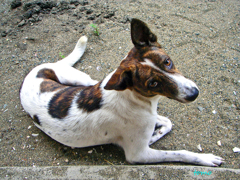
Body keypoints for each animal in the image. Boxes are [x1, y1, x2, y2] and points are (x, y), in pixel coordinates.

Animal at [19, 19, 223, 167]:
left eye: (167, 61)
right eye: (153, 83)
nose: (194, 93)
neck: (137, 98)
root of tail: (36, 71)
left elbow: (167, 122)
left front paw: (156, 133)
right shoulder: (138, 155)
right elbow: (180, 153)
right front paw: (205, 158)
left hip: (86, 80)